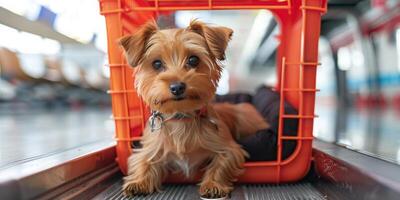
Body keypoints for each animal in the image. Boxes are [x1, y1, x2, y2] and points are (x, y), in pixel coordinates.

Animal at [119, 20, 268, 198]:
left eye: (193, 60)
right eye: (157, 63)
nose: (177, 87)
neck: (181, 117)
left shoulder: (229, 149)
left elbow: (220, 165)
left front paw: (212, 184)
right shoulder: (150, 148)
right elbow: (143, 161)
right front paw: (138, 182)